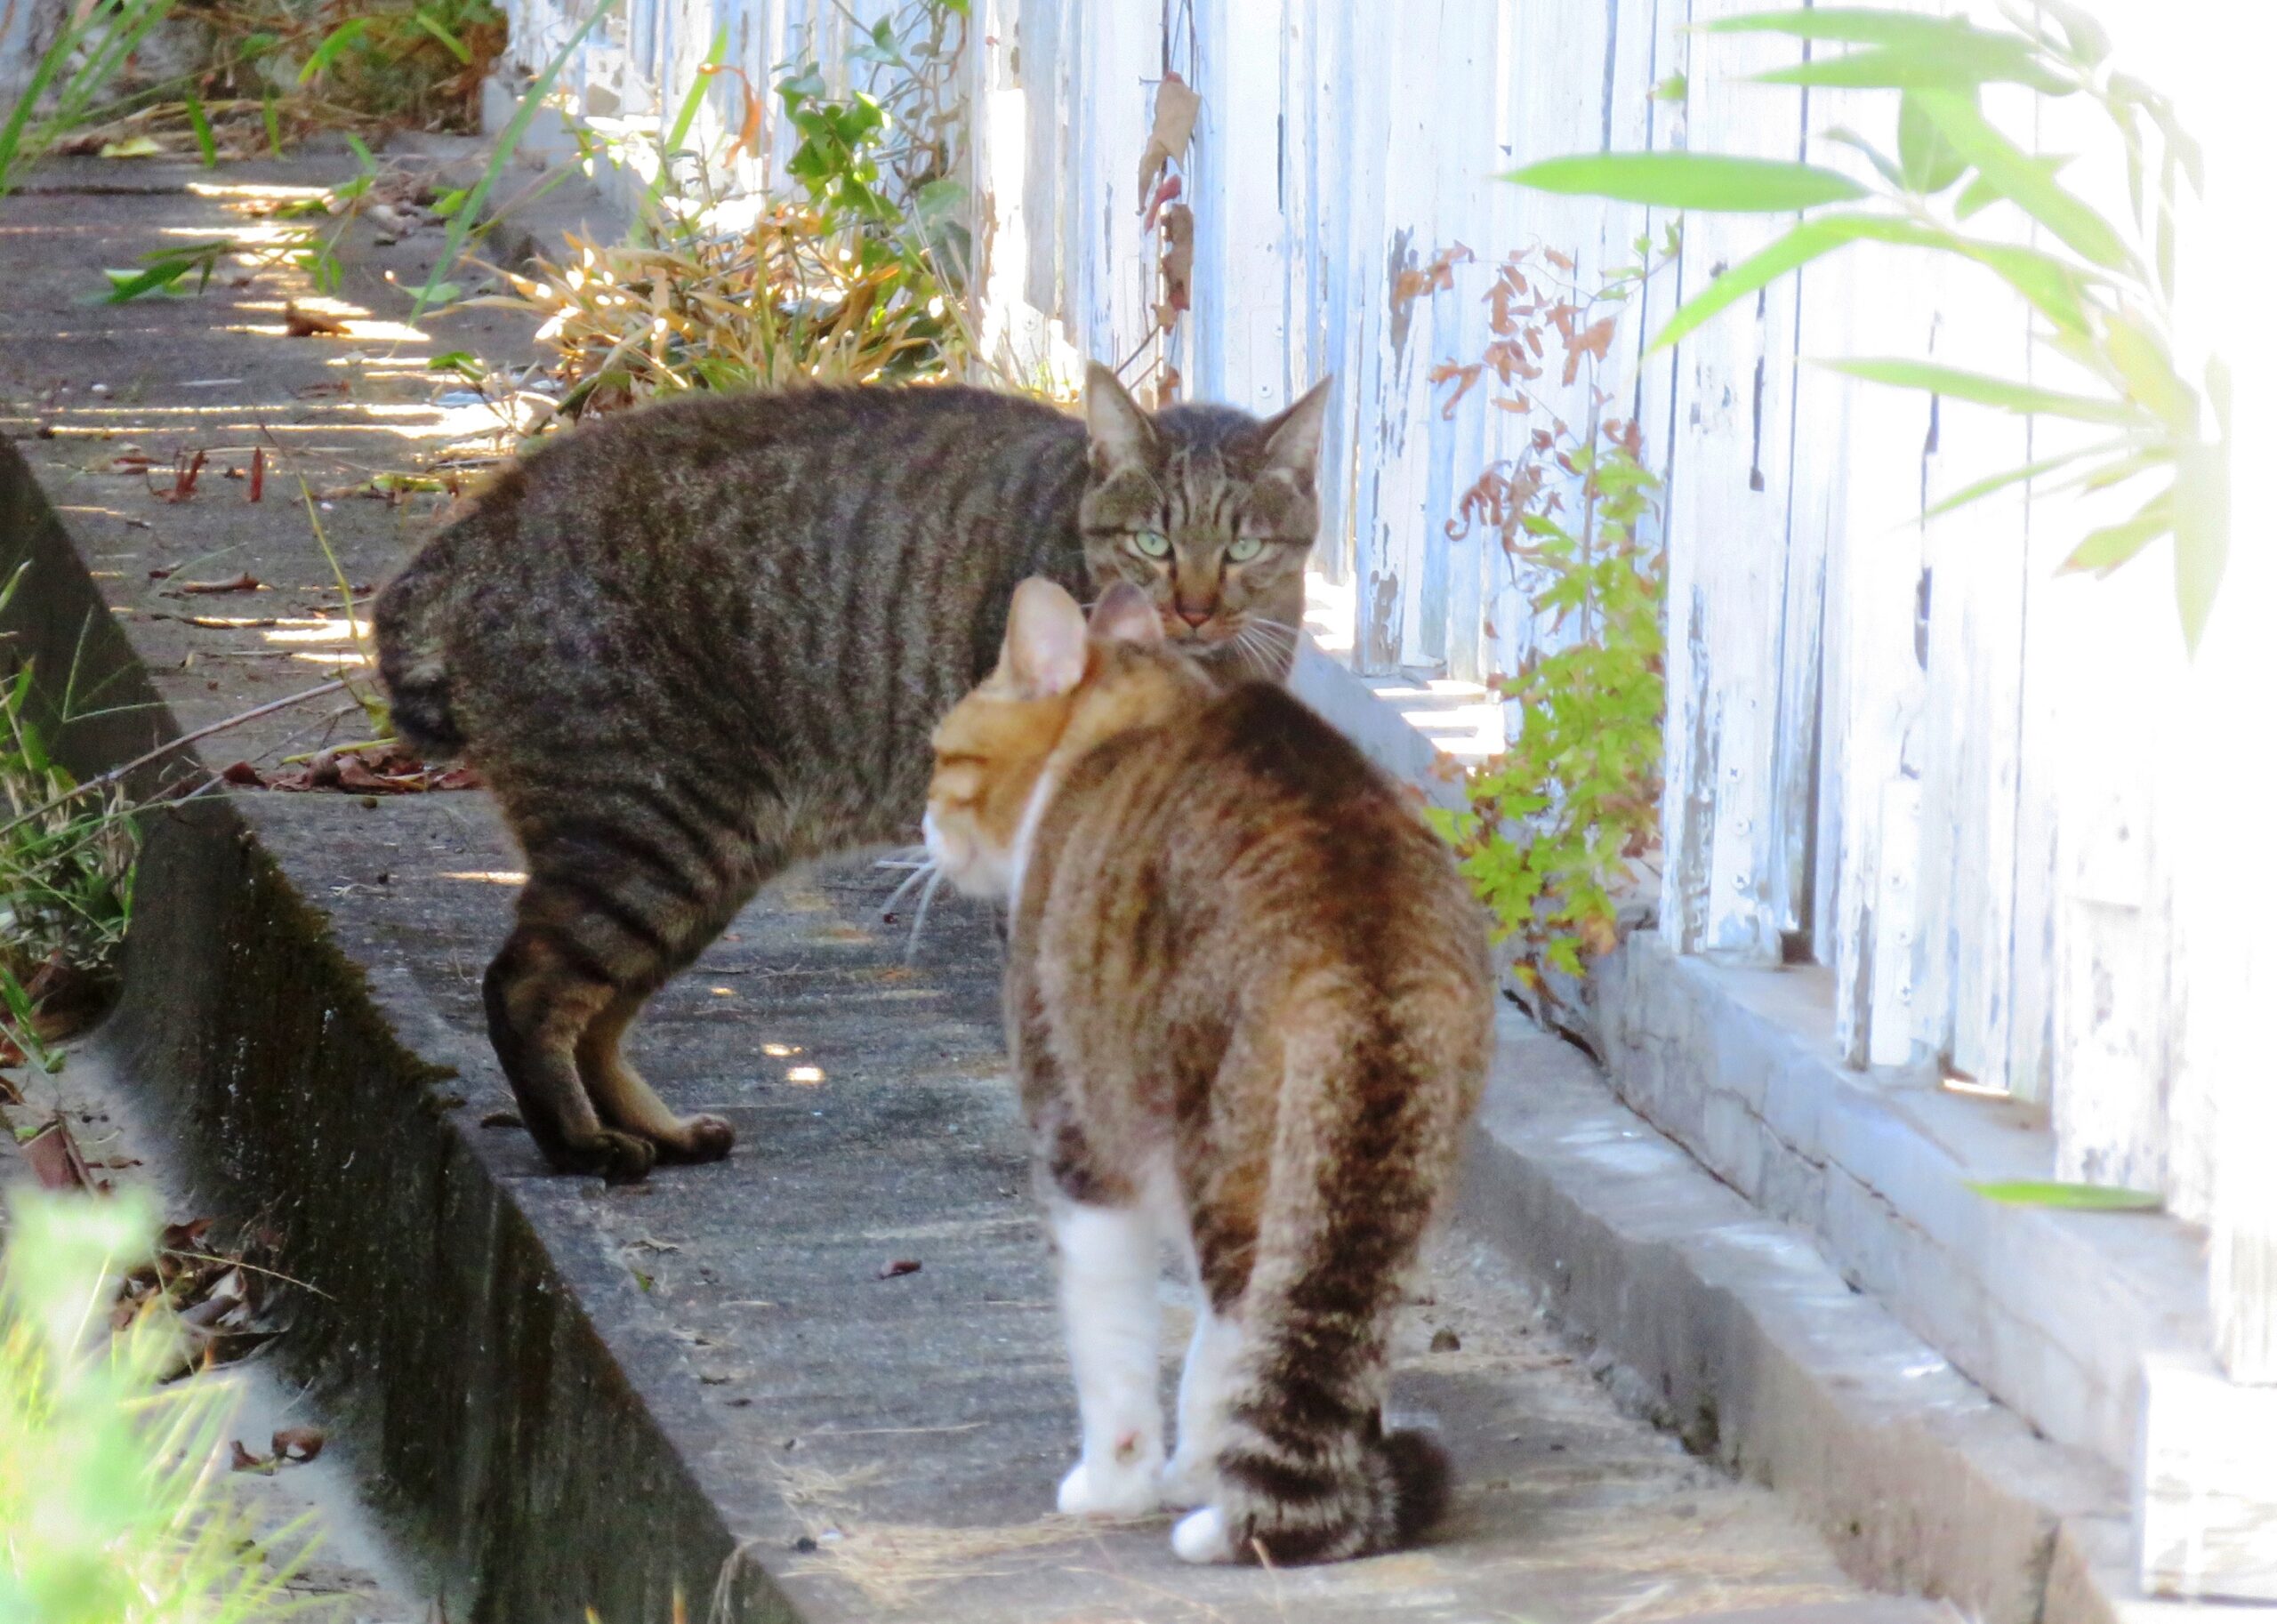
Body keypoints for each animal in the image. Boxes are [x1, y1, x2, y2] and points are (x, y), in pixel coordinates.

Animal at [375, 364, 1330, 1175]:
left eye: (1244, 550)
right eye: (1151, 543)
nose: (1194, 610)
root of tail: (469, 535)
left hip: (699, 864)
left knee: (599, 1016)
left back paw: (658, 1131)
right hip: (645, 834)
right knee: (524, 989)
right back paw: (580, 1145)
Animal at [924, 575, 1493, 1566]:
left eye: (943, 755)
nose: (922, 821)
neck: (1132, 719)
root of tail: (1361, 942)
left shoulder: (1081, 1142)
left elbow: (1111, 1339)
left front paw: (1115, 1483)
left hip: (1223, 1157)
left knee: (1241, 1328)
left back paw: (1221, 1513)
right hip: (1384, 1176)